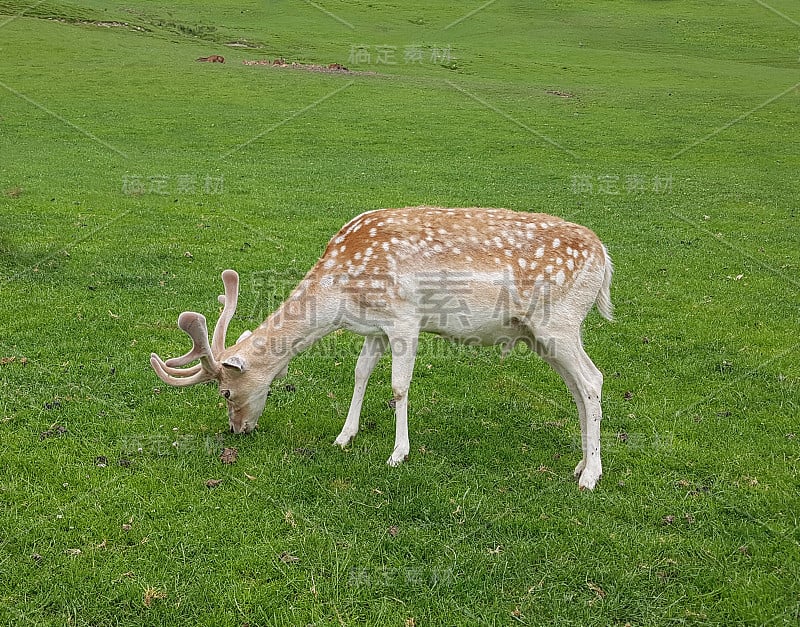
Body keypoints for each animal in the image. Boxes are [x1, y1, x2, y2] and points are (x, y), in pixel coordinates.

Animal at [150, 206, 612, 490]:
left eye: (226, 392)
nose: (237, 430)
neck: (340, 294)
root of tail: (606, 259)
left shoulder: (405, 317)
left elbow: (398, 385)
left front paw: (398, 453)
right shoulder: (375, 327)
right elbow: (360, 372)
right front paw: (344, 436)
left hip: (559, 321)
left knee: (593, 379)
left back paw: (591, 476)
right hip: (541, 335)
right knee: (577, 387)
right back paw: (579, 463)